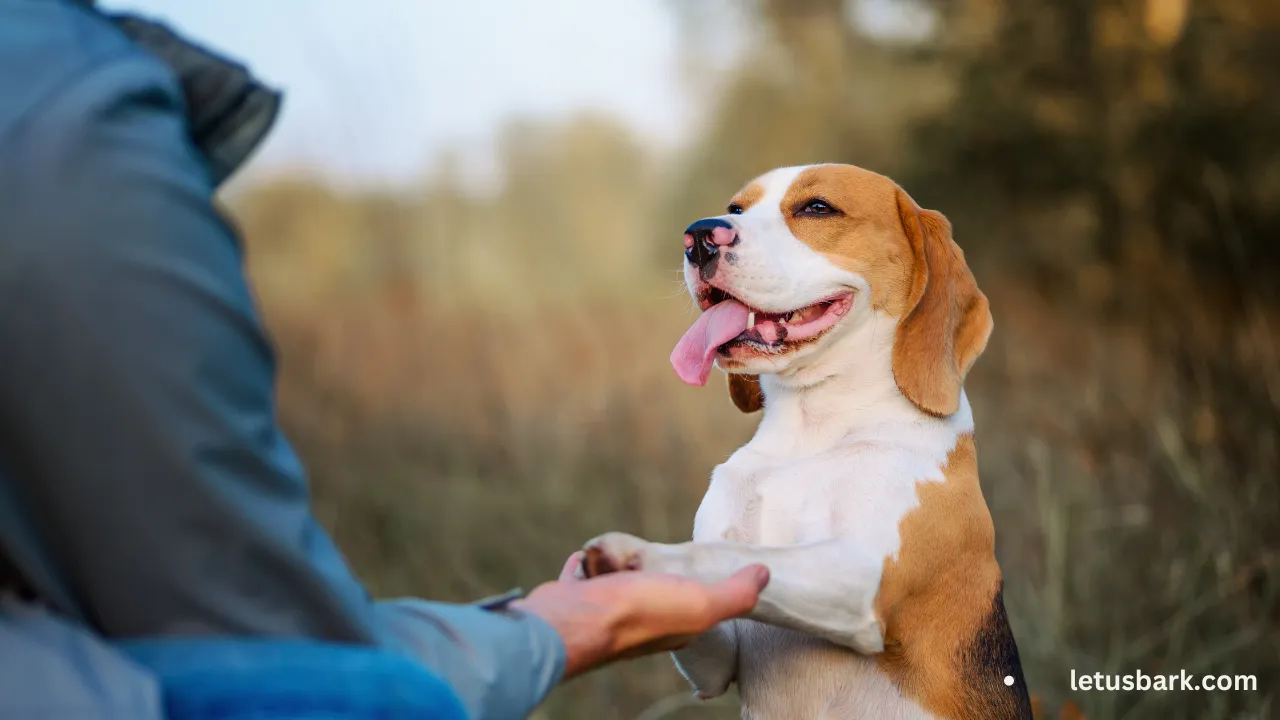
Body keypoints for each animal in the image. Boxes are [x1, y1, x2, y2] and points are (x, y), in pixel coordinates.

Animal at [581, 163, 1029, 717]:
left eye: (817, 208)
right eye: (736, 209)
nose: (699, 236)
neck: (812, 429)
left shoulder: (860, 579)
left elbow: (728, 557)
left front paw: (640, 557)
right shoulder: (718, 661)